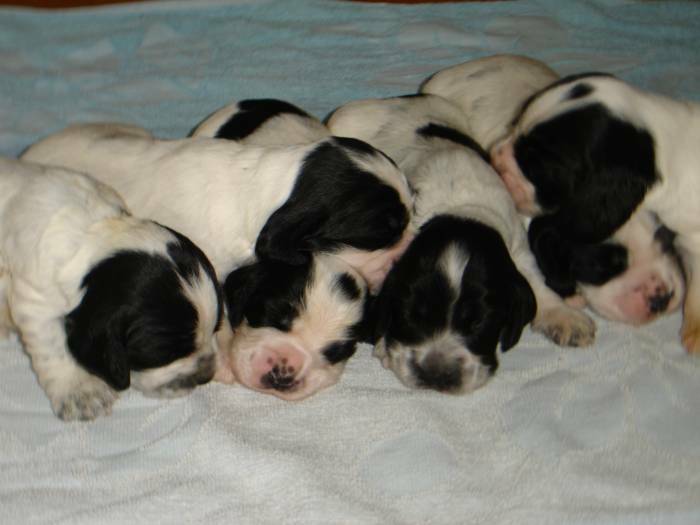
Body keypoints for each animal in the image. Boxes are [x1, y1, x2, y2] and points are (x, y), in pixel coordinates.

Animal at [0, 158, 223, 420]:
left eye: (216, 330)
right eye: (166, 353)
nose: (206, 376)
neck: (94, 233)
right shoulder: (35, 301)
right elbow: (53, 348)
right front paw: (80, 392)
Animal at [326, 94, 596, 390]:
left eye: (479, 323)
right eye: (411, 315)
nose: (436, 373)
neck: (462, 211)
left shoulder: (516, 241)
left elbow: (535, 280)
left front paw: (564, 317)